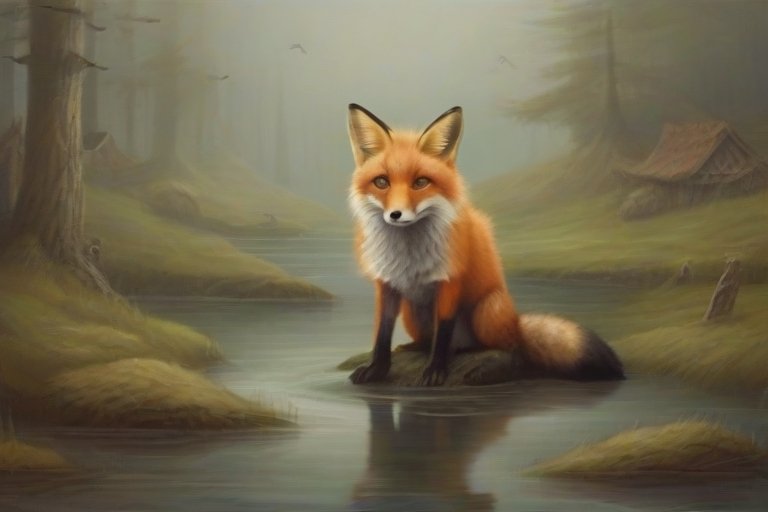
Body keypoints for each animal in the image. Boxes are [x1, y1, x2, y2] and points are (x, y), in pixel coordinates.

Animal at [346, 103, 624, 386]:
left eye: (420, 182)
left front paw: (435, 370)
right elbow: (382, 332)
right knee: (431, 340)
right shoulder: (386, 283)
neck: (408, 255)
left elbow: (443, 333)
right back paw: (415, 347)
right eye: (382, 182)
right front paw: (377, 368)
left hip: (486, 311)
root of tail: (516, 323)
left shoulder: (450, 281)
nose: (395, 214)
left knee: (508, 348)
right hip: (413, 312)